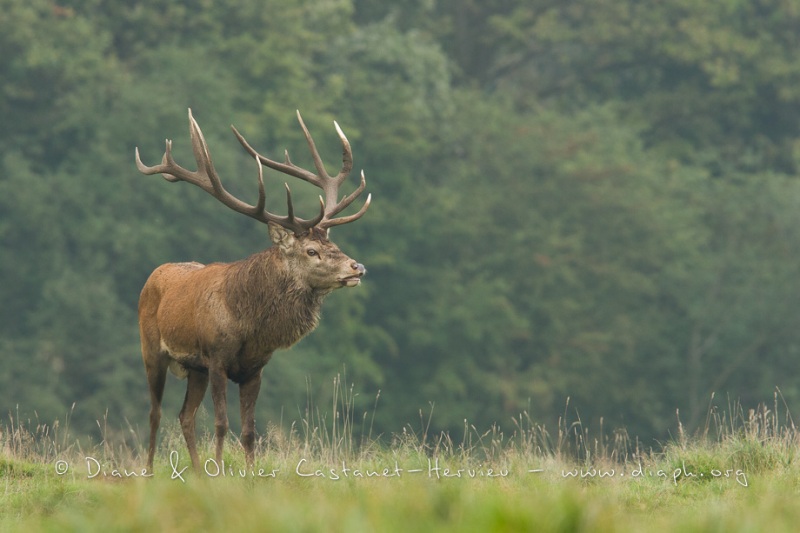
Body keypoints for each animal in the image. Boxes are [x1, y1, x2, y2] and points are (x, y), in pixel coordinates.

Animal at [135, 107, 372, 470]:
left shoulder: (254, 369)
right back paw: (148, 472)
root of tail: (153, 275)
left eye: (334, 244)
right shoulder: (217, 358)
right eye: (311, 251)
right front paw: (219, 471)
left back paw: (197, 473)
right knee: (155, 413)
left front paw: (248, 474)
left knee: (185, 416)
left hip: (194, 369)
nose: (356, 267)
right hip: (152, 351)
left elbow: (249, 431)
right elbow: (221, 424)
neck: (248, 323)